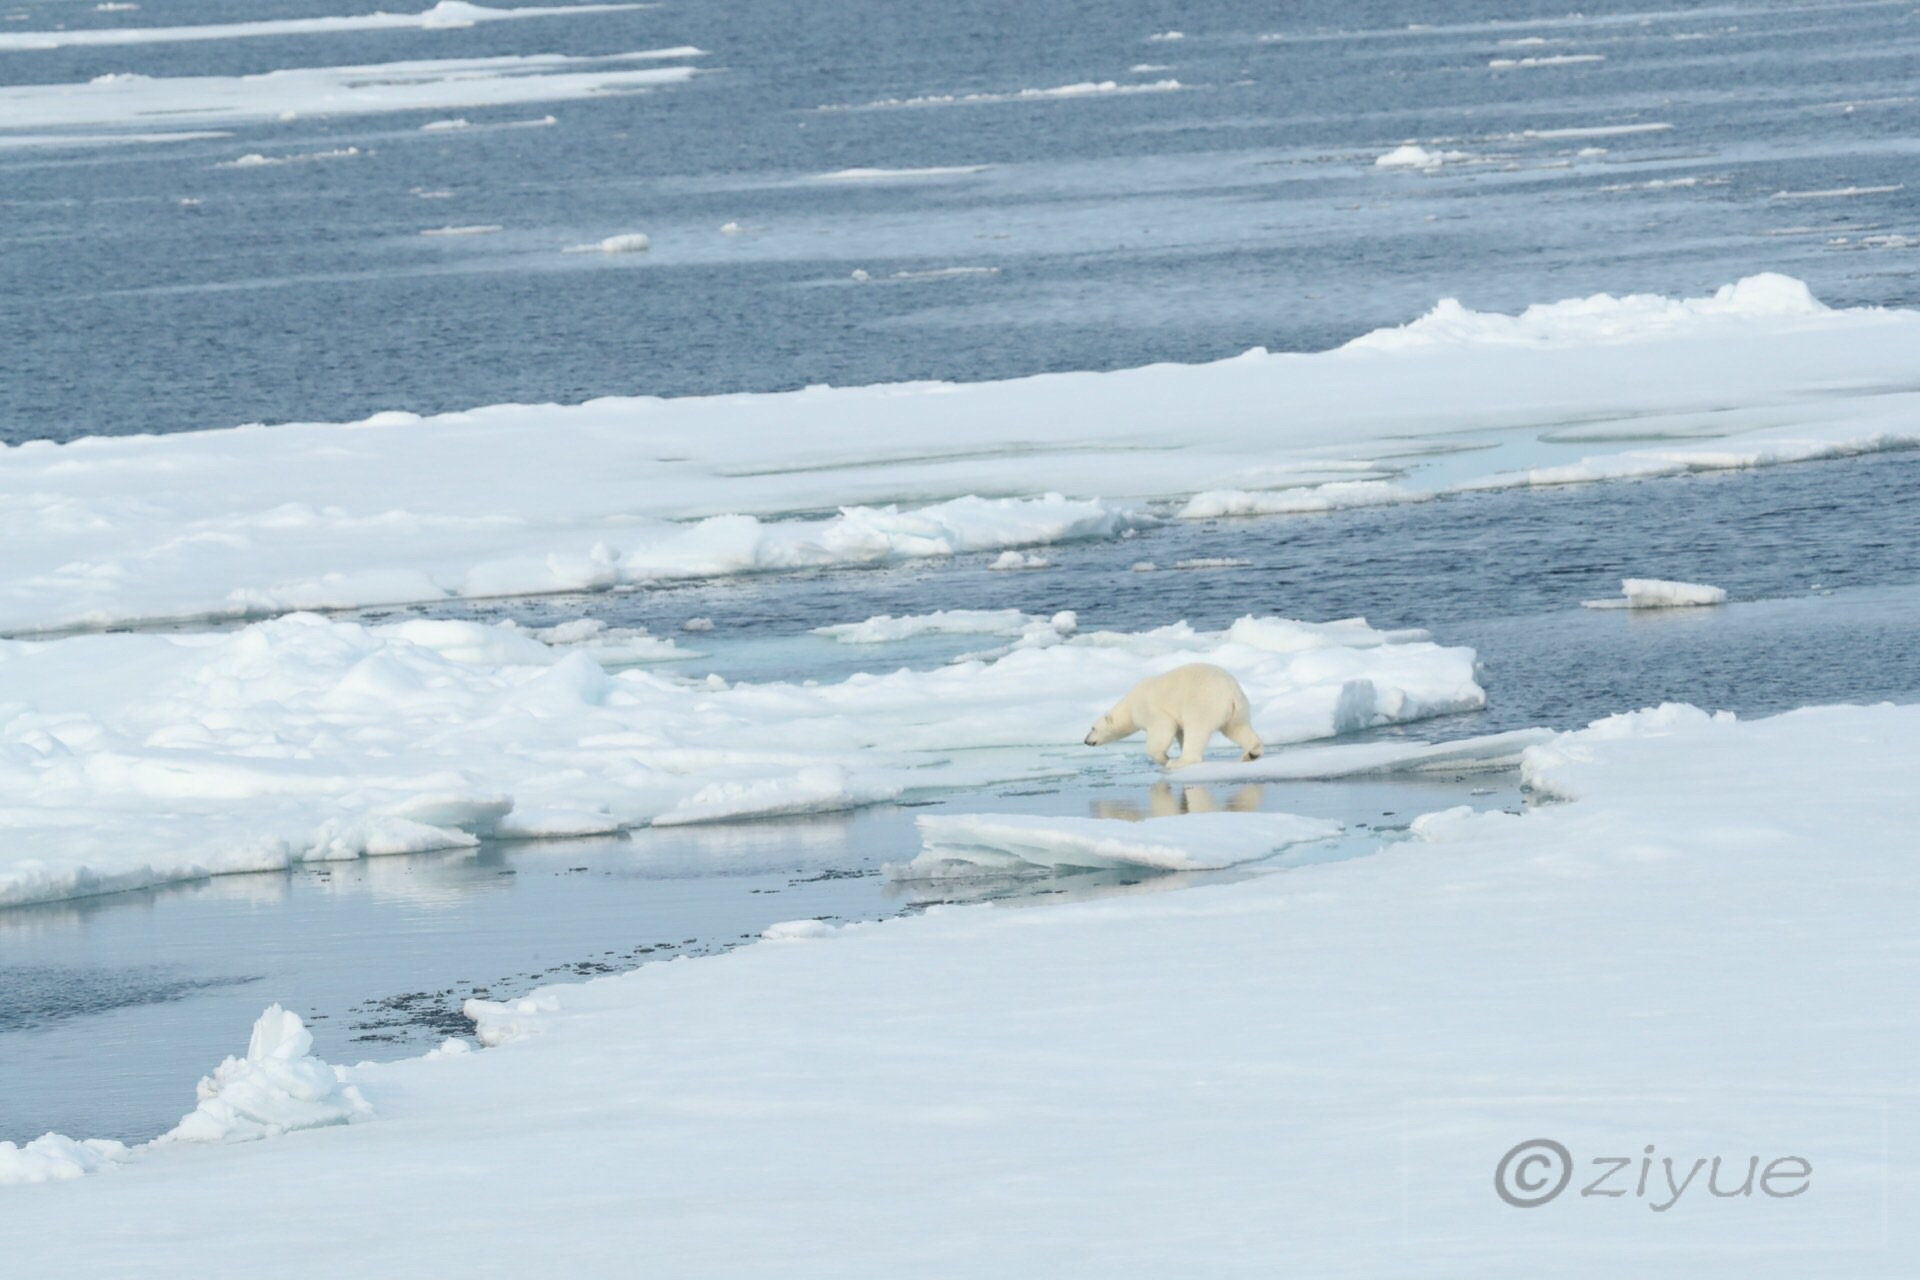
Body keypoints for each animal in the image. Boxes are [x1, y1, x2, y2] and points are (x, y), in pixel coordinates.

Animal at [1090, 660, 1267, 771]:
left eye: (1093, 728)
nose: (1086, 741)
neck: (1129, 705)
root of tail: (1231, 691)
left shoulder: (1150, 710)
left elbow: (1163, 728)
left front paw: (1164, 758)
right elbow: (1180, 732)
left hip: (1204, 703)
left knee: (1196, 730)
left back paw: (1179, 761)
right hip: (1238, 709)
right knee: (1237, 728)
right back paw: (1252, 753)